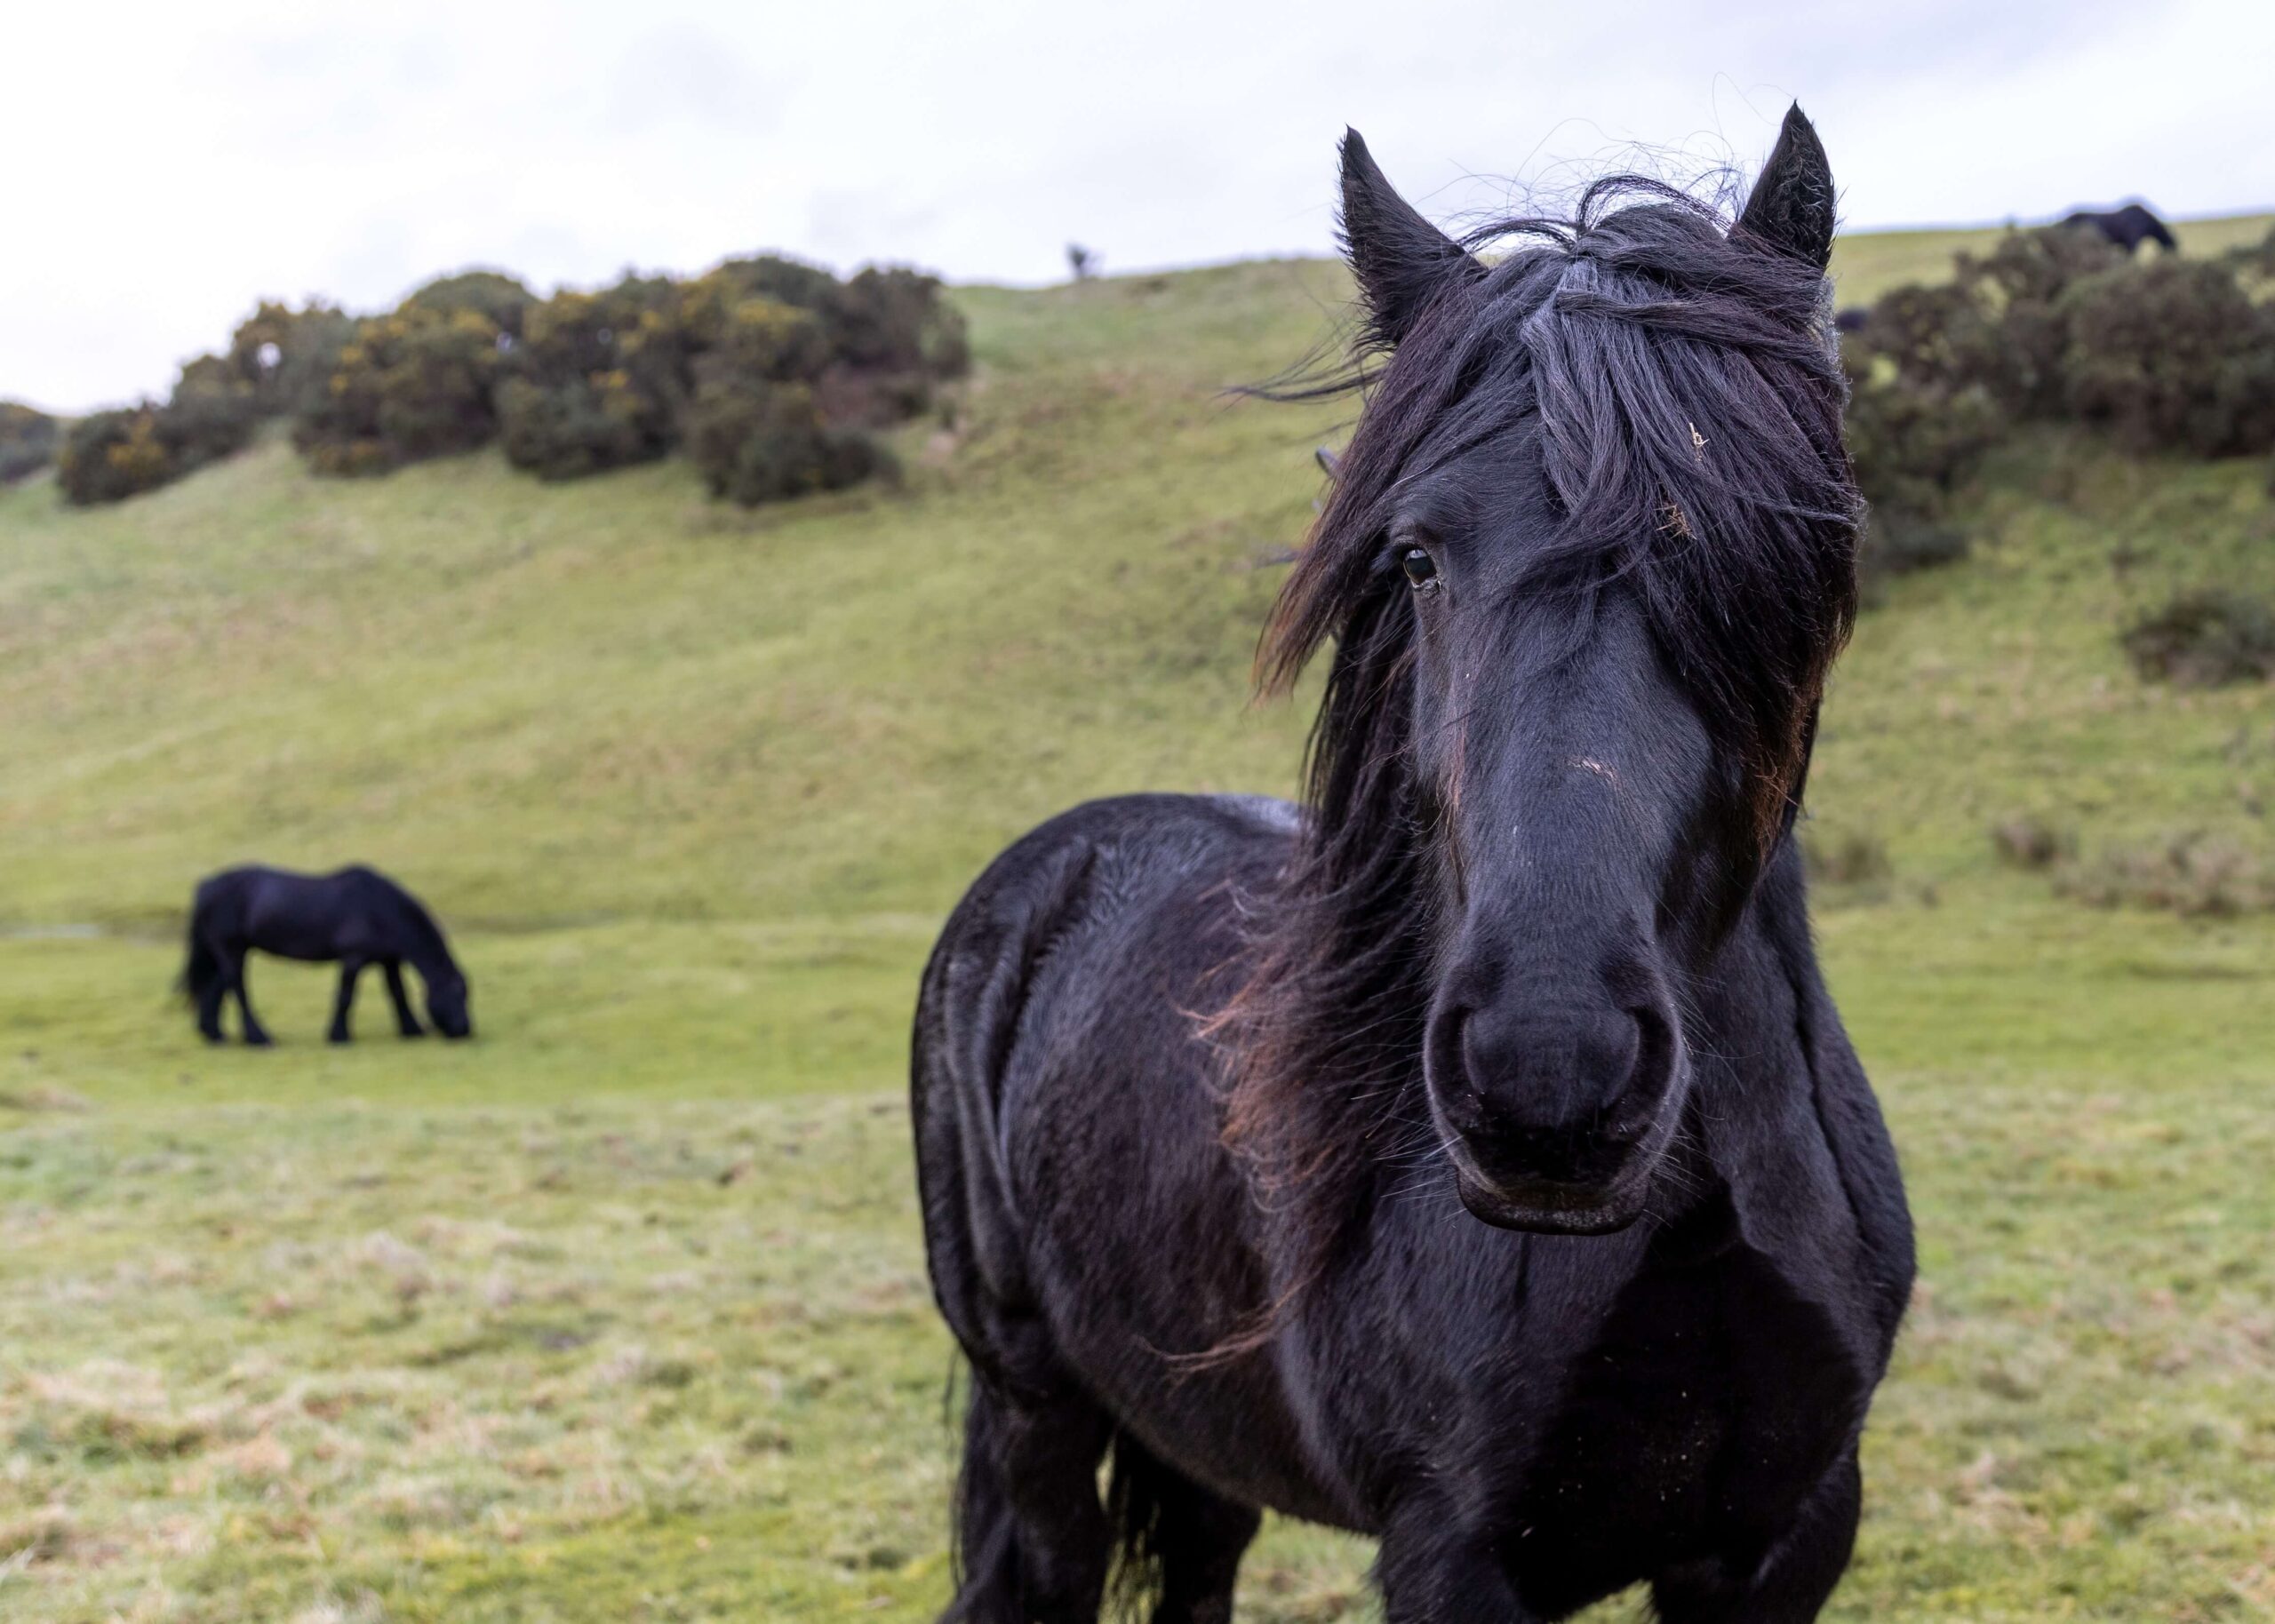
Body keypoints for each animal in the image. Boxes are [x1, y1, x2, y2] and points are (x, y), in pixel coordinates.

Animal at [180, 865, 472, 1045]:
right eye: (457, 994)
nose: (465, 1030)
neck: (380, 909)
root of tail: (206, 886)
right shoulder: (353, 959)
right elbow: (345, 997)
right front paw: (338, 1035)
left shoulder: (388, 961)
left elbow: (398, 995)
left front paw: (411, 1030)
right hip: (232, 950)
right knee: (238, 989)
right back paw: (259, 1037)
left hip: (228, 951)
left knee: (217, 987)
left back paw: (215, 1034)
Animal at [911, 103, 1913, 1624]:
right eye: (1421, 557)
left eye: (1772, 544)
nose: (1548, 1080)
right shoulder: (1451, 1548)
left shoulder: (1790, 1531)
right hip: (1036, 1410)